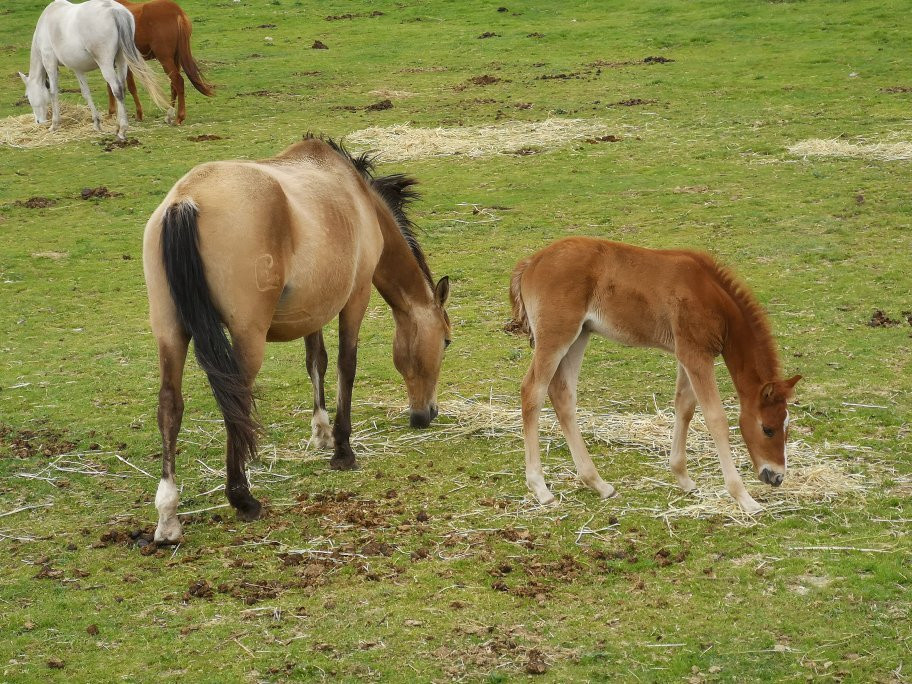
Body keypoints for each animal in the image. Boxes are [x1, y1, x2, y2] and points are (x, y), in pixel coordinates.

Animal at [18, 0, 168, 140]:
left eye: (27, 96)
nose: (38, 122)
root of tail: (113, 9)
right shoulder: (77, 68)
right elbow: (86, 93)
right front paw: (96, 123)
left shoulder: (49, 62)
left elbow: (53, 92)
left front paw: (54, 125)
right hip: (121, 60)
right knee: (122, 88)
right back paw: (118, 126)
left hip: (105, 63)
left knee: (117, 89)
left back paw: (122, 130)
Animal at [143, 136, 452, 540]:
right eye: (446, 342)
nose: (427, 414)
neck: (358, 197)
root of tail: (186, 200)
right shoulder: (356, 297)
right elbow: (346, 365)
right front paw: (342, 450)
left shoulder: (314, 307)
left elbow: (316, 361)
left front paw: (321, 433)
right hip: (247, 336)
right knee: (235, 401)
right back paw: (242, 498)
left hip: (169, 332)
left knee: (170, 405)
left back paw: (168, 516)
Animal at [510, 239, 800, 512]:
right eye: (768, 429)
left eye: (786, 426)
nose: (776, 477)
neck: (711, 295)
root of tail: (532, 262)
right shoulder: (697, 355)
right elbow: (715, 419)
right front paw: (744, 498)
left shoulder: (687, 355)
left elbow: (684, 407)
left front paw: (683, 478)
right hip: (556, 337)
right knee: (532, 391)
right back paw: (541, 488)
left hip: (580, 335)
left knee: (562, 395)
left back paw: (599, 484)